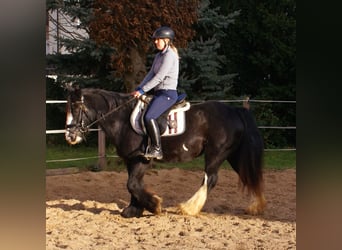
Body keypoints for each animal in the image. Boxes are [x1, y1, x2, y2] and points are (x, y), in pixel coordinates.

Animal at [65, 86, 268, 219]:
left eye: (76, 107)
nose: (70, 136)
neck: (122, 119)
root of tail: (234, 110)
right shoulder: (131, 160)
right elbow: (134, 184)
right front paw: (134, 210)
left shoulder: (141, 159)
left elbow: (132, 184)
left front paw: (154, 206)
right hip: (233, 155)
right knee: (249, 176)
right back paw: (256, 207)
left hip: (216, 154)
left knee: (210, 179)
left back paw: (188, 208)